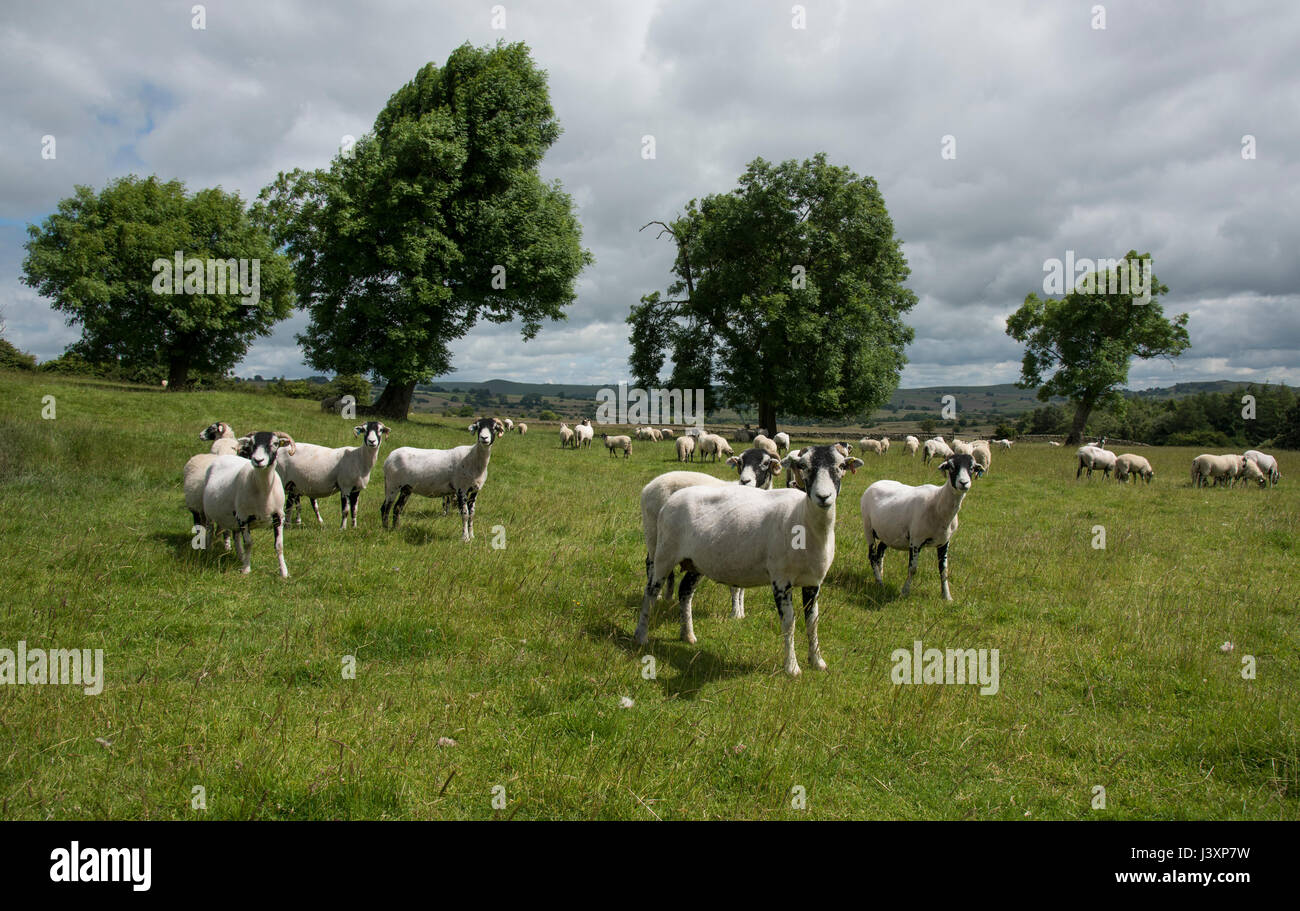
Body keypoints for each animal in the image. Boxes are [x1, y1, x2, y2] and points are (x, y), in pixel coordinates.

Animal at [198, 431, 296, 574]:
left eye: (275, 443)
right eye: (251, 443)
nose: (258, 460)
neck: (263, 491)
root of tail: (225, 456)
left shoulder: (278, 516)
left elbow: (279, 545)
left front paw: (283, 572)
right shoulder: (244, 518)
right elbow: (248, 543)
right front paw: (246, 569)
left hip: (234, 518)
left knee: (236, 536)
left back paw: (240, 557)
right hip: (210, 513)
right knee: (210, 531)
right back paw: (209, 551)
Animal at [637, 444, 863, 670]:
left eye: (841, 466)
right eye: (803, 466)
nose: (823, 497)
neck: (802, 518)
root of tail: (670, 498)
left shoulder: (813, 583)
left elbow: (813, 622)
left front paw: (817, 661)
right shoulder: (781, 580)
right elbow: (789, 623)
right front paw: (792, 668)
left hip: (696, 562)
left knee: (685, 591)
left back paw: (687, 635)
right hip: (664, 552)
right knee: (650, 590)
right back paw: (641, 635)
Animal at [863, 452, 982, 600]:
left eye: (972, 468)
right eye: (951, 467)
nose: (964, 483)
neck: (937, 503)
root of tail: (875, 483)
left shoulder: (945, 542)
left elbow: (944, 570)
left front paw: (947, 596)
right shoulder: (916, 540)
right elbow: (912, 569)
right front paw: (904, 592)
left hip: (888, 532)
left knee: (880, 551)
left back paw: (880, 576)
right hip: (868, 527)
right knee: (872, 555)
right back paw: (879, 581)